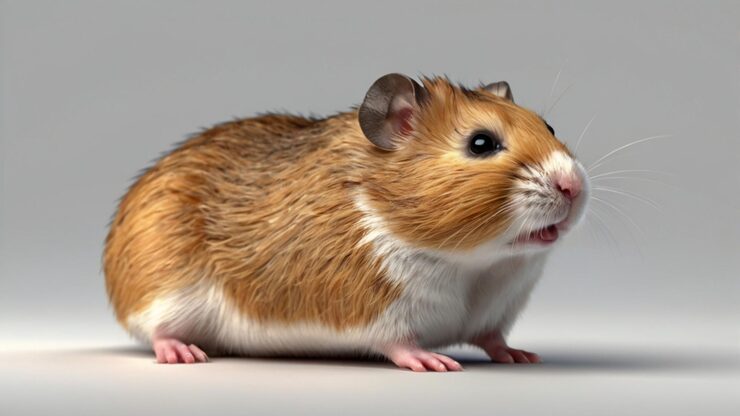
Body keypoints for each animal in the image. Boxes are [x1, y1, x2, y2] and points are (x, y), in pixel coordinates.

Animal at [104, 73, 589, 371]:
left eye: (548, 126)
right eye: (481, 143)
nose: (573, 186)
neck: (475, 264)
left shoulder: (495, 311)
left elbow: (493, 339)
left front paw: (520, 355)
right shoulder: (376, 308)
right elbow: (398, 343)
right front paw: (435, 363)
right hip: (166, 295)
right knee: (158, 332)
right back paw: (184, 353)